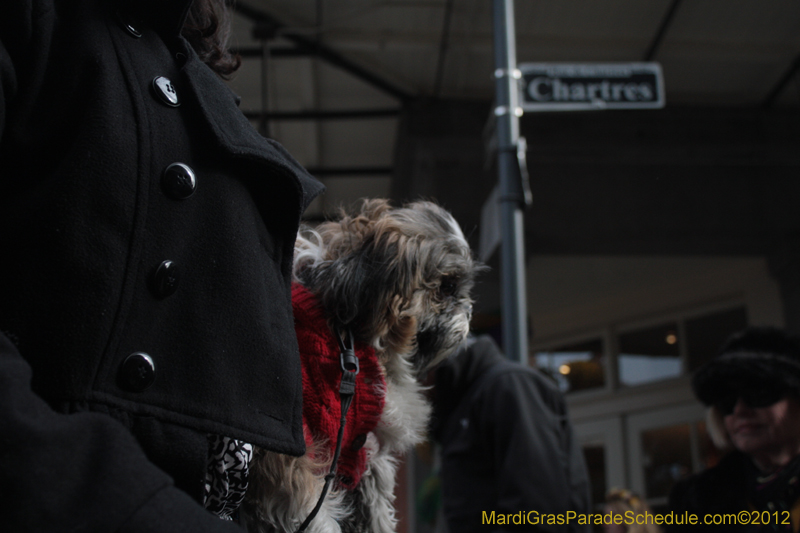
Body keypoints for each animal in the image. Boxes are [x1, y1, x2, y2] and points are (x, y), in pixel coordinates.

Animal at [244, 200, 478, 532]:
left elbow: (375, 514)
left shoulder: (363, 454)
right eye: (446, 287)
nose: (468, 310)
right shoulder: (288, 464)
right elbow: (316, 518)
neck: (345, 335)